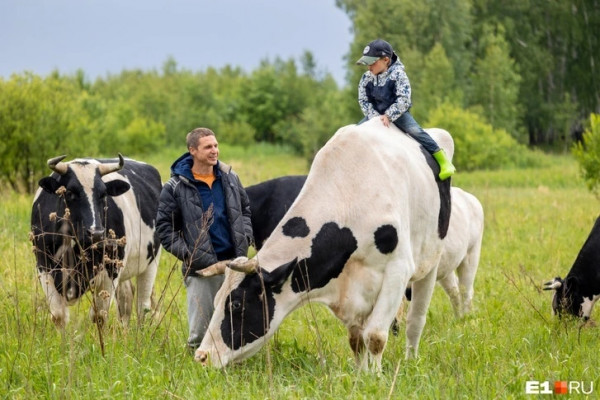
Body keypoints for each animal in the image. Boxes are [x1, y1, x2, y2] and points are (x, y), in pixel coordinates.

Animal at [30, 154, 162, 328]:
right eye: (70, 192)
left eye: (103, 194)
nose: (96, 233)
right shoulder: (43, 265)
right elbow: (59, 315)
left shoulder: (110, 270)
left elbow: (99, 316)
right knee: (126, 299)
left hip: (151, 259)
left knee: (143, 306)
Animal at [195, 119, 452, 372]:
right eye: (216, 300)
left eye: (236, 304)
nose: (202, 356)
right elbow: (356, 340)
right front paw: (363, 376)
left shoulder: (397, 270)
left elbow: (375, 336)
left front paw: (377, 377)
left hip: (431, 259)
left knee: (415, 320)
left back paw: (411, 359)